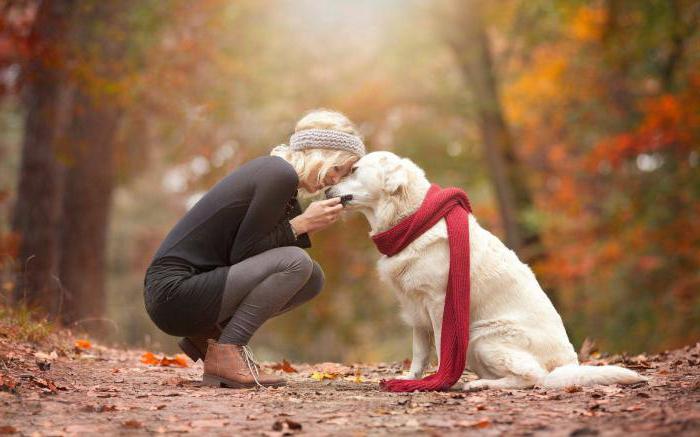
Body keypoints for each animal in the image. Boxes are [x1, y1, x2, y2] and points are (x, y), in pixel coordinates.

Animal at [328, 152, 644, 390]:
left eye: (354, 170)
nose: (327, 189)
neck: (412, 219)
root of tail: (566, 366)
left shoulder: (439, 304)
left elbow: (442, 347)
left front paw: (440, 381)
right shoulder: (416, 309)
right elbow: (419, 352)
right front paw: (410, 379)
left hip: (482, 338)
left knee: (533, 378)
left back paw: (481, 385)